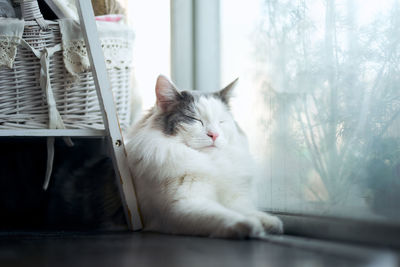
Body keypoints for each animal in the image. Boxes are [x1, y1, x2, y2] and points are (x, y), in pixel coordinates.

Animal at [126, 75, 282, 239]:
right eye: (195, 120)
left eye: (221, 121)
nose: (214, 135)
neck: (211, 163)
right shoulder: (181, 206)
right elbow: (223, 215)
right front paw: (250, 225)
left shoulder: (233, 200)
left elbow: (246, 210)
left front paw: (270, 222)